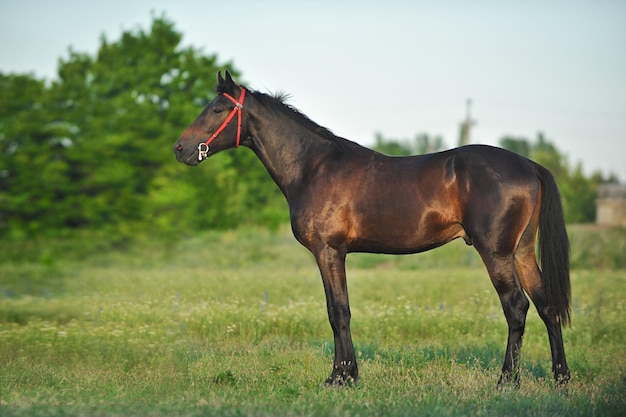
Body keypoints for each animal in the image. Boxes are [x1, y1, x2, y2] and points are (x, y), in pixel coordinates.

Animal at [173, 70, 568, 386]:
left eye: (217, 109)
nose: (180, 148)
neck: (313, 167)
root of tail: (529, 165)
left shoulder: (328, 251)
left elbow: (338, 312)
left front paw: (340, 377)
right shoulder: (334, 253)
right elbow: (338, 310)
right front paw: (346, 374)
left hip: (496, 253)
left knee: (516, 306)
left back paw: (507, 381)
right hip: (521, 252)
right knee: (546, 305)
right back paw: (560, 377)